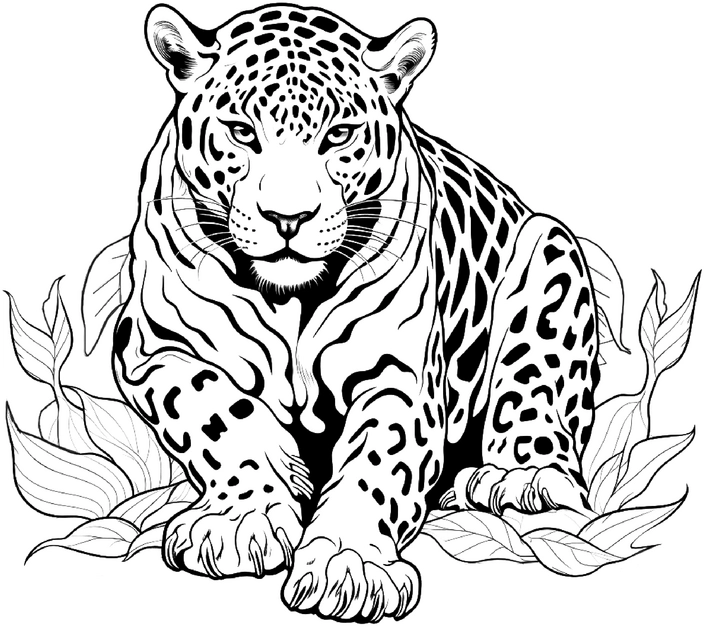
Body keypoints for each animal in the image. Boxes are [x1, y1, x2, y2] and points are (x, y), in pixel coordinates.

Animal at [113, 3, 600, 621]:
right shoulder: (155, 348)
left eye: (338, 136)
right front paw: (243, 517)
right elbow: (218, 413)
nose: (288, 218)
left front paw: (348, 562)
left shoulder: (398, 377)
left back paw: (525, 478)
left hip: (549, 247)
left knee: (536, 392)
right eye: (242, 133)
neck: (290, 300)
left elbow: (379, 460)